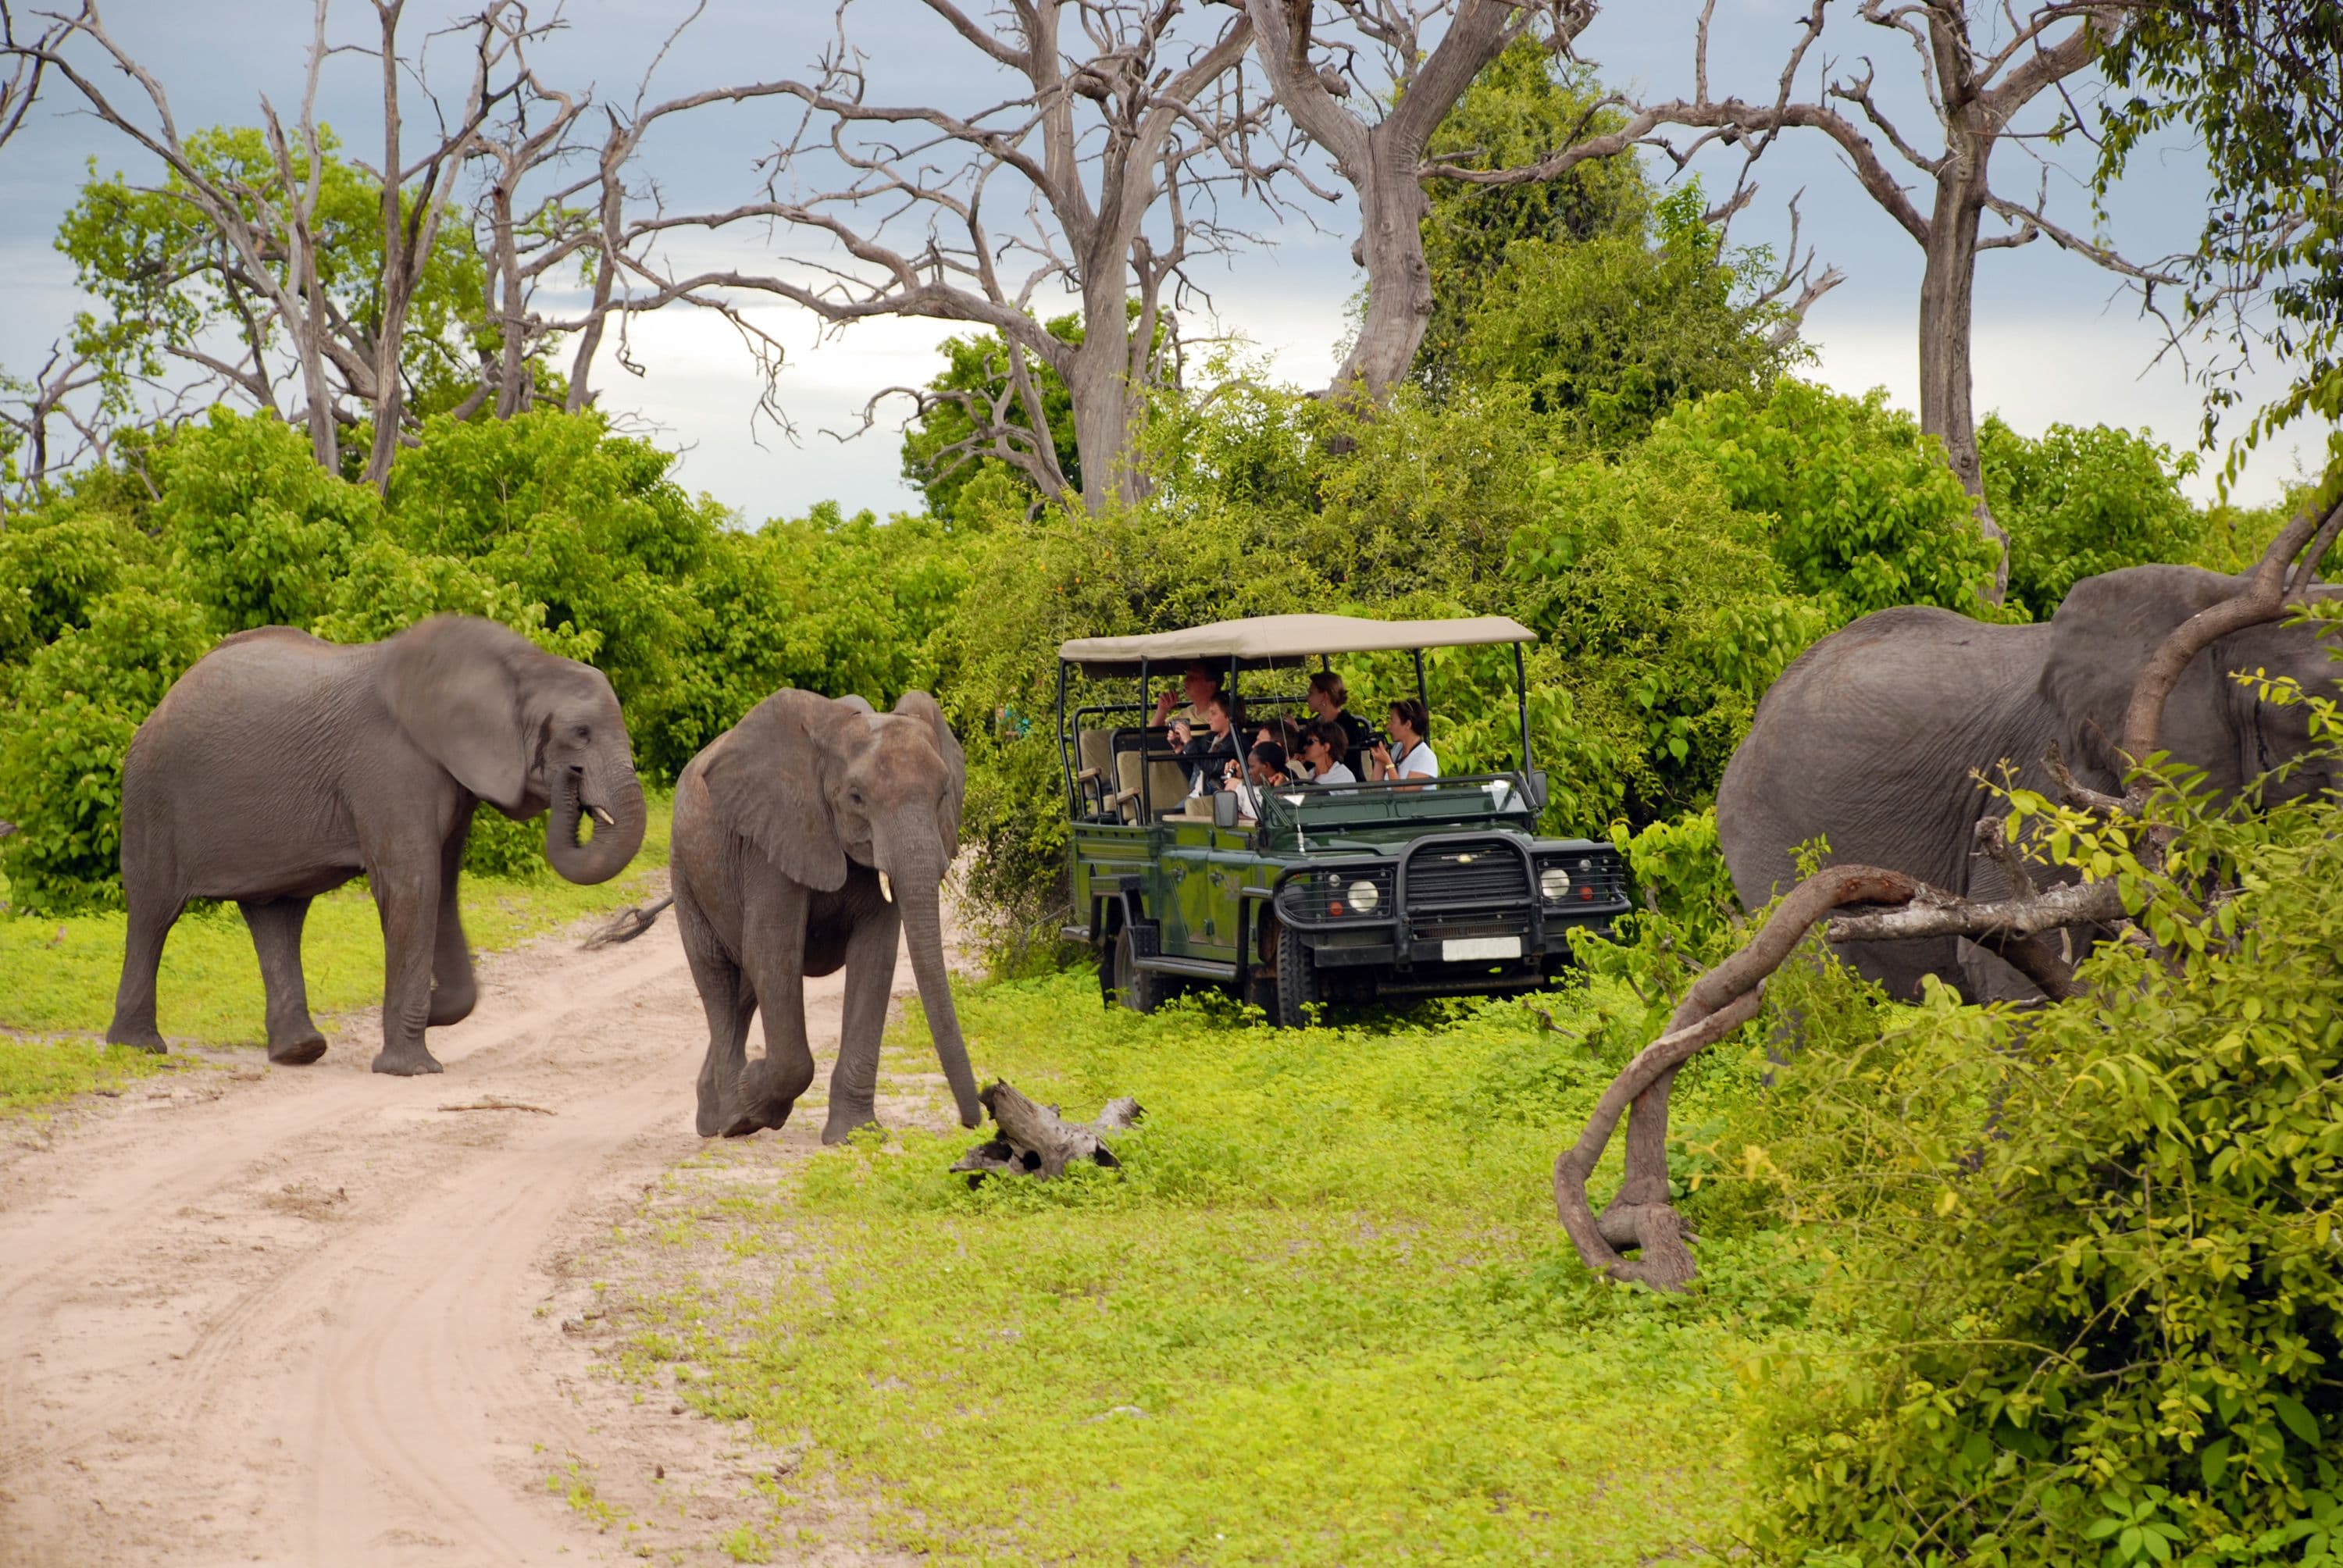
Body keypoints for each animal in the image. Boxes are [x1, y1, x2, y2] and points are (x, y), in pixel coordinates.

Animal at [107, 614, 648, 1072]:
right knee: (154, 911)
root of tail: (163, 701)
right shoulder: (389, 763)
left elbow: (442, 887)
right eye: (580, 734)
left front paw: (430, 1015)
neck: (520, 662)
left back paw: (299, 1052)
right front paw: (412, 1068)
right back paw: (139, 1048)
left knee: (276, 914)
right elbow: (413, 886)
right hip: (151, 795)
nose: (570, 781)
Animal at [665, 687, 984, 1143]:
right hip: (686, 872)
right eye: (856, 798)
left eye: (943, 795)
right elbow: (773, 950)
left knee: (746, 987)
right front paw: (754, 1102)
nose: (974, 1121)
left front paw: (855, 1136)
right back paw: (730, 1120)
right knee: (719, 980)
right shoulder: (772, 837)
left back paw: (714, 1115)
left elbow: (876, 959)